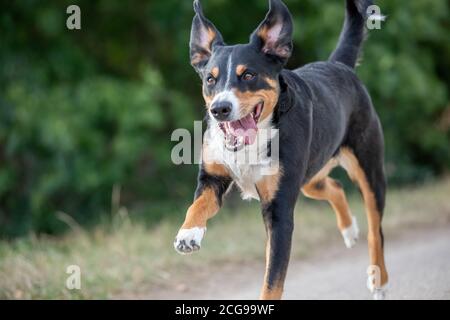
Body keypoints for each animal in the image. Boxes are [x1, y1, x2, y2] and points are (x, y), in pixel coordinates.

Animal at [174, 0, 388, 300]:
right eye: (209, 79)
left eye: (248, 75)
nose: (219, 109)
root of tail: (338, 65)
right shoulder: (213, 179)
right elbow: (198, 205)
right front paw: (188, 234)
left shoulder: (279, 211)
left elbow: (272, 280)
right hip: (310, 177)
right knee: (334, 187)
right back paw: (348, 230)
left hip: (369, 172)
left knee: (375, 231)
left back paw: (378, 281)